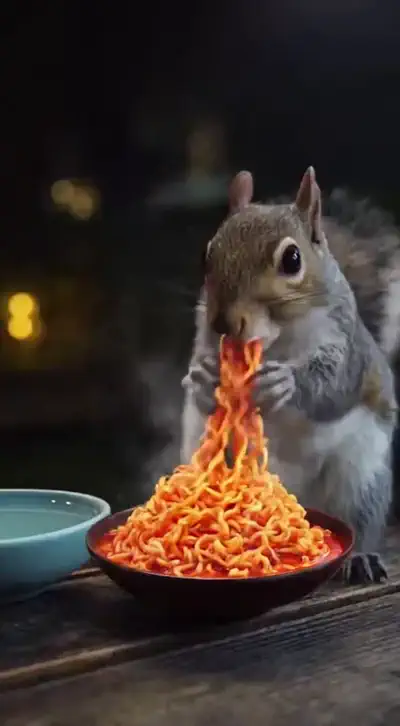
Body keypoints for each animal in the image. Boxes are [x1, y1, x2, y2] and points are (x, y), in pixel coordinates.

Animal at [181, 166, 399, 585]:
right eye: (207, 254)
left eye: (292, 259)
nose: (223, 324)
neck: (277, 340)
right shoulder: (202, 334)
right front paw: (205, 378)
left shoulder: (347, 347)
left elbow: (333, 386)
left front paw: (284, 383)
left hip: (361, 472)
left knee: (359, 517)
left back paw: (359, 557)